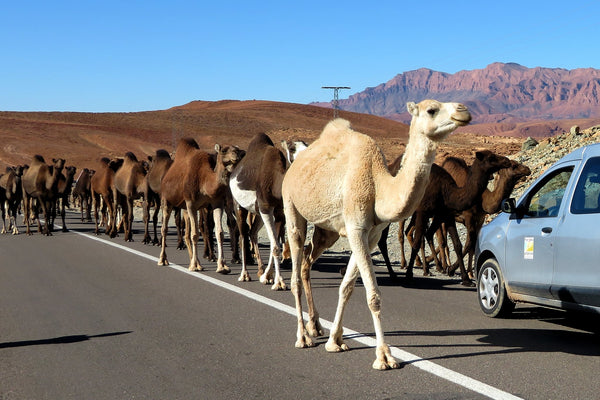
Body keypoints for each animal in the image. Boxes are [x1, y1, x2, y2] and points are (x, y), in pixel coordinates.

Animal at [159, 138, 246, 272]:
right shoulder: (191, 203)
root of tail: (165, 177)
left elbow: (219, 233)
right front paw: (194, 266)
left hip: (184, 207)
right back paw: (163, 260)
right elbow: (195, 234)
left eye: (237, 149)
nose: (236, 156)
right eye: (224, 150)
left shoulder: (217, 203)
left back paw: (196, 262)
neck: (205, 181)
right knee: (164, 229)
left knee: (186, 233)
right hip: (166, 200)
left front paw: (222, 266)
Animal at [229, 133, 308, 290]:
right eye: (292, 148)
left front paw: (268, 276)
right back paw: (244, 275)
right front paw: (279, 282)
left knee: (252, 232)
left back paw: (260, 270)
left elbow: (274, 244)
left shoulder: (279, 213)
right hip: (239, 206)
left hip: (258, 212)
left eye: (307, 145)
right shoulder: (266, 207)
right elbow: (275, 246)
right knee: (243, 235)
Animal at [278, 99, 472, 368]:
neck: (380, 187)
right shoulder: (356, 228)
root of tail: (295, 162)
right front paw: (384, 356)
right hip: (292, 205)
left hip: (327, 230)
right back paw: (303, 337)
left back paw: (315, 326)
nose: (463, 111)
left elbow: (347, 287)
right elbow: (373, 295)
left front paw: (335, 341)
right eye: (431, 110)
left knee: (307, 261)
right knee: (296, 268)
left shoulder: (369, 235)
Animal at [404, 149, 510, 284]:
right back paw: (424, 268)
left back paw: (432, 266)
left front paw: (465, 278)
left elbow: (459, 244)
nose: (507, 161)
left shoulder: (449, 215)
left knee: (422, 233)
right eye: (491, 157)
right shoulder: (426, 212)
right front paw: (409, 275)